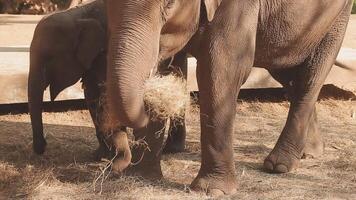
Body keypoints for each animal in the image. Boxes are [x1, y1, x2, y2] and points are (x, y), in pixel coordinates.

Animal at [27, 0, 186, 160]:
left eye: (49, 58)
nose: (44, 146)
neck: (78, 15)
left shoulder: (105, 52)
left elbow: (103, 93)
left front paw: (108, 155)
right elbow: (92, 93)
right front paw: (101, 155)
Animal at [105, 0, 354, 197]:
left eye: (168, 4)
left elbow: (219, 70)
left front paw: (212, 190)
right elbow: (164, 62)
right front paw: (140, 177)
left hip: (337, 16)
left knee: (311, 76)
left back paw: (279, 165)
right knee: (285, 71)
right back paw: (310, 151)